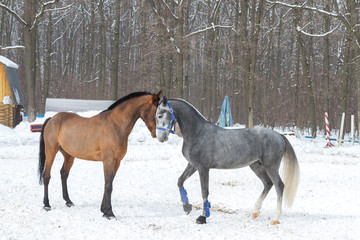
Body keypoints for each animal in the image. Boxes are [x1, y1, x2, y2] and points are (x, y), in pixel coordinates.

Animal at [156, 96, 300, 224]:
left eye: (160, 115)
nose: (161, 138)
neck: (197, 133)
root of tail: (279, 135)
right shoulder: (193, 165)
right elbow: (180, 181)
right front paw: (187, 207)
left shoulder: (203, 168)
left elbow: (204, 191)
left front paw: (202, 217)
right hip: (256, 166)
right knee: (268, 184)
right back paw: (255, 212)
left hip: (271, 166)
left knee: (279, 185)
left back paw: (275, 218)